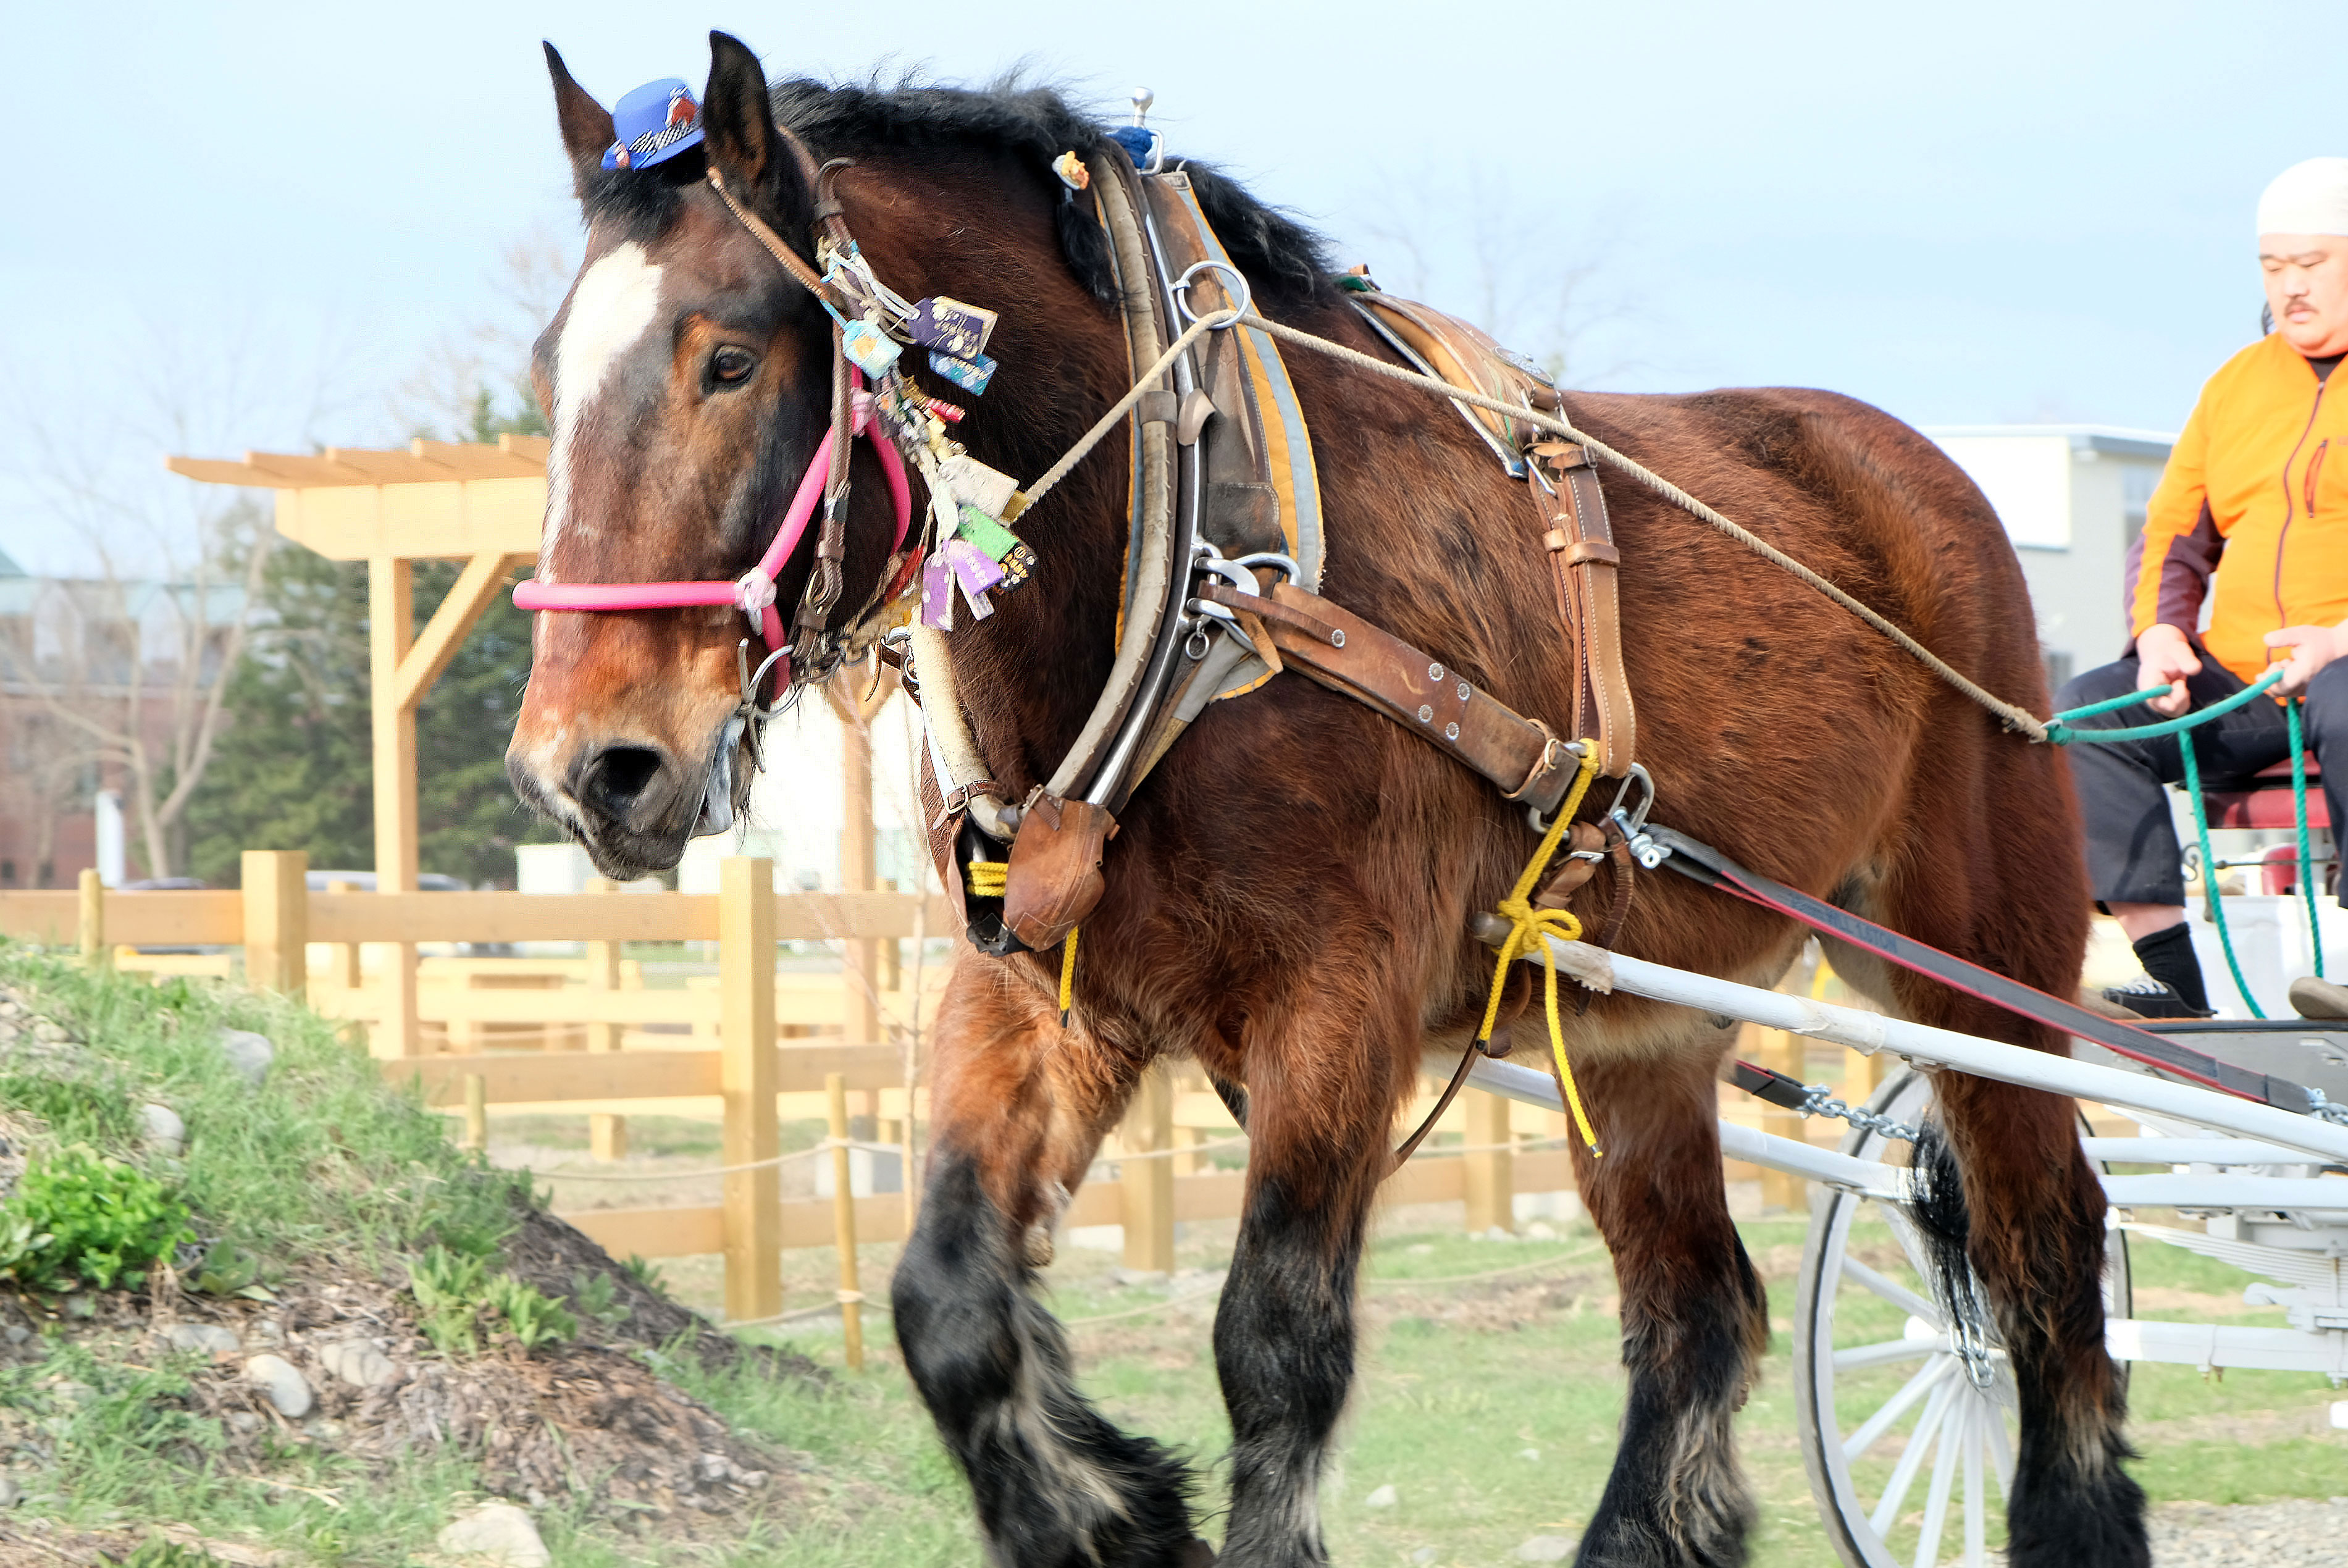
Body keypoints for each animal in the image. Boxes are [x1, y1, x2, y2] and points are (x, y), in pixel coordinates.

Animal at [507, 32, 2145, 1568]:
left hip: (1976, 957)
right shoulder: (1043, 989)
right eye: (545, 376)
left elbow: (1276, 1345)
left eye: (727, 361)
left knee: (2046, 1252)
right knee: (1699, 1308)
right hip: (1635, 1020)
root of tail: (1912, 474)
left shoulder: (1339, 1001)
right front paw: (1109, 1508)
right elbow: (948, 1300)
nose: (585, 767)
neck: (1188, 560)